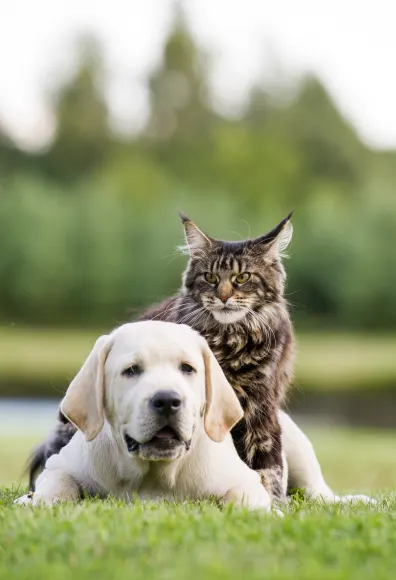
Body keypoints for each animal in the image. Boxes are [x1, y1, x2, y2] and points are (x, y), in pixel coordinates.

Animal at [27, 213, 294, 498]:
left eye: (242, 277)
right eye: (210, 277)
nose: (223, 297)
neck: (230, 342)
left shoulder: (261, 406)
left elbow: (267, 465)